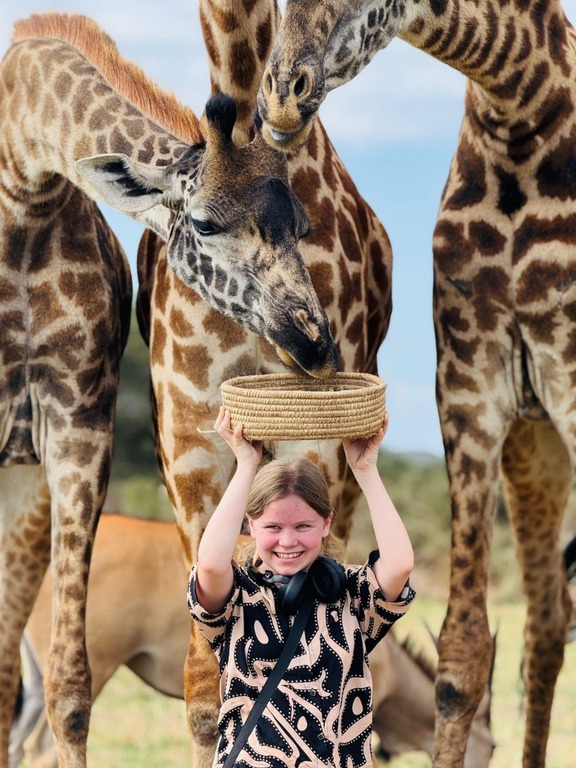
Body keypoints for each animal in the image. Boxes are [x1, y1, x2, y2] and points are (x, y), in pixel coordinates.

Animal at [0, 11, 346, 768]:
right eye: (208, 224)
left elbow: (69, 690)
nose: (314, 343)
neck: (21, 189)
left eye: (301, 227)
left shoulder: (76, 422)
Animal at [134, 0, 393, 763]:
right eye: (202, 222)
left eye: (297, 221)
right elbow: (205, 682)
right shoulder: (191, 457)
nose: (311, 342)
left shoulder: (316, 444)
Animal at [256, 1, 576, 766]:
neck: (521, 111)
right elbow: (463, 655)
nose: (280, 95)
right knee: (549, 622)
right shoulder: (470, 387)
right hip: (536, 448)